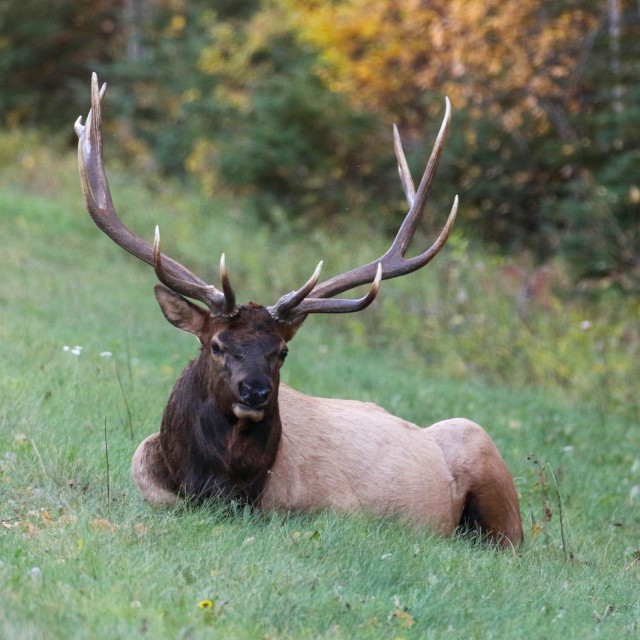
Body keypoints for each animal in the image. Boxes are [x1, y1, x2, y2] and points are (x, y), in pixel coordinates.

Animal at [75, 74, 523, 547]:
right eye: (216, 344)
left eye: (282, 352)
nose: (255, 391)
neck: (224, 487)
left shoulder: (340, 508)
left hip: (483, 455)